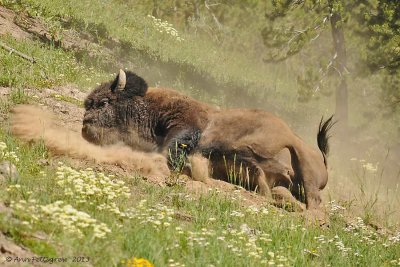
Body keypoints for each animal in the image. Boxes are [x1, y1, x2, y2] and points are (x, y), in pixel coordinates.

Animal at [82, 70, 334, 213]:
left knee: (312, 200)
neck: (147, 103)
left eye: (104, 102)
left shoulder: (185, 124)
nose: (85, 125)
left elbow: (172, 148)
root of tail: (322, 160)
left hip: (304, 170)